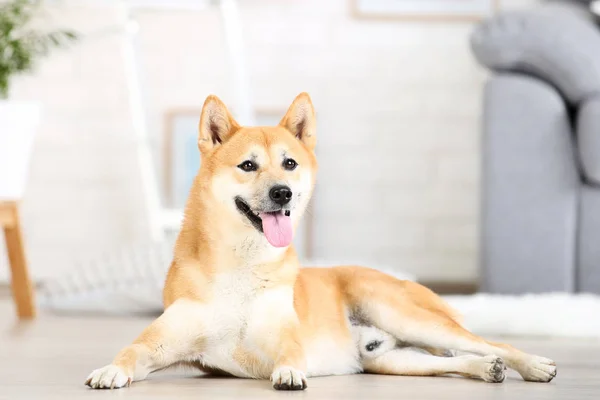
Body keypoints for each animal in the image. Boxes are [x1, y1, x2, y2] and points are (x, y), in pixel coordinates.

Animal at [84, 92, 556, 390]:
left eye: (290, 164)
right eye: (248, 165)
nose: (282, 193)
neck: (243, 266)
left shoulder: (285, 336)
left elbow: (291, 354)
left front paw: (291, 374)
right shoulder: (162, 340)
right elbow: (131, 352)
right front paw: (110, 370)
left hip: (404, 316)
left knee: (488, 343)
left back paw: (530, 364)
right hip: (392, 360)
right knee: (450, 361)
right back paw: (485, 369)